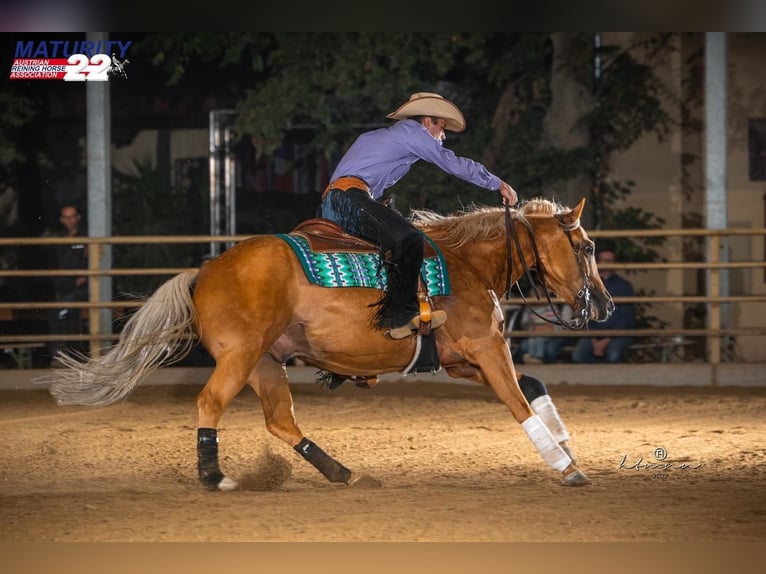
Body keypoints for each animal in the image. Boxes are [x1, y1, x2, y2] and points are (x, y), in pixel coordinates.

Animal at [45, 197, 616, 490]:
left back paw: (342, 472)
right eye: (587, 247)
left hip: (266, 363)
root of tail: (204, 271)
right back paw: (214, 476)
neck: (464, 264)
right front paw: (566, 467)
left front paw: (565, 441)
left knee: (281, 420)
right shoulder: (487, 349)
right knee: (210, 402)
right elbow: (519, 403)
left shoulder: (461, 361)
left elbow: (533, 384)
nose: (606, 306)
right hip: (240, 357)